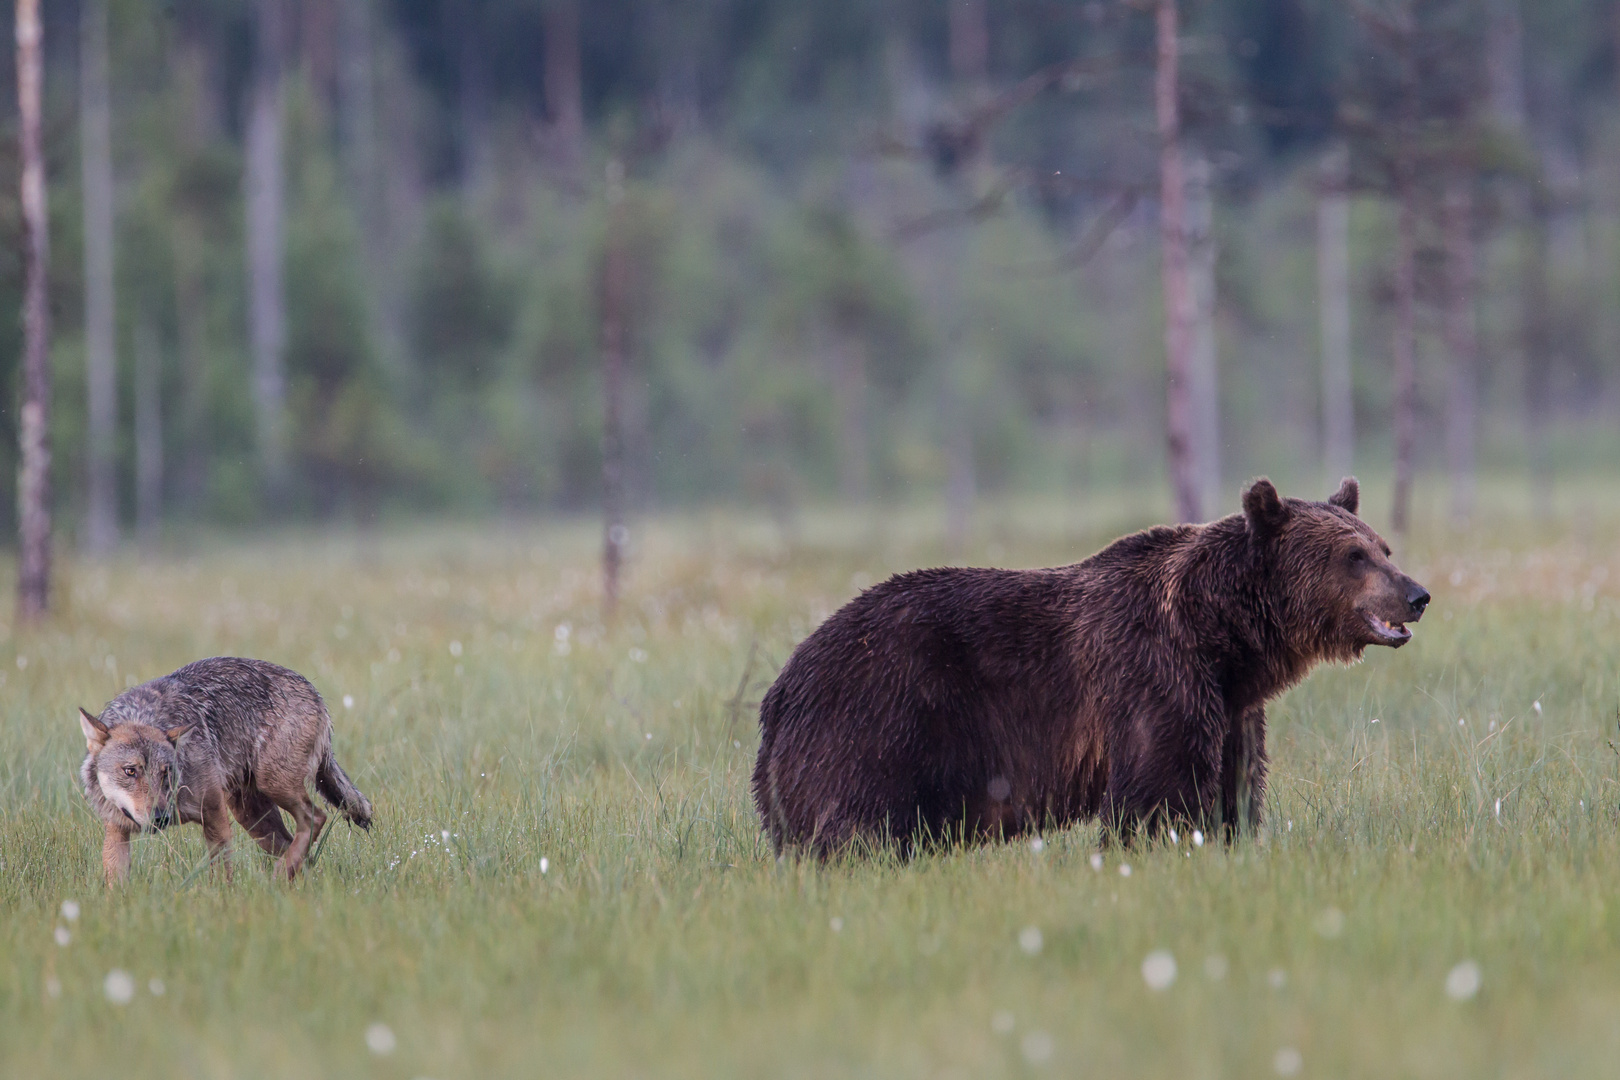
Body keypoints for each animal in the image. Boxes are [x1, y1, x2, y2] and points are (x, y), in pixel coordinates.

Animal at [751, 476, 1425, 854]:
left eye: (1384, 547)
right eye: (1353, 555)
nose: (1417, 594)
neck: (1223, 635)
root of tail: (781, 688)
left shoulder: (1232, 705)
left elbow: (1234, 785)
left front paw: (1229, 837)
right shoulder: (1154, 675)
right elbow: (1158, 790)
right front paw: (1156, 845)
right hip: (876, 718)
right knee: (853, 821)